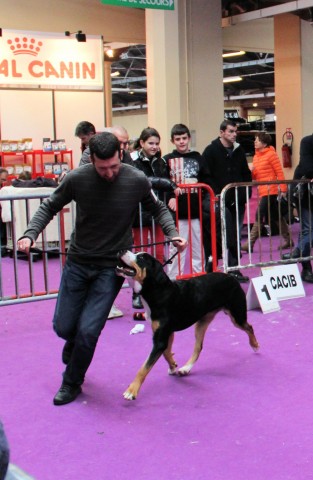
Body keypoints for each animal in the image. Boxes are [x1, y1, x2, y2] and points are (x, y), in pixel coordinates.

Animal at [116, 251, 258, 402]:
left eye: (141, 258)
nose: (120, 251)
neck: (158, 292)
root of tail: (229, 276)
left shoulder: (161, 338)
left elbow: (144, 367)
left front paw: (132, 390)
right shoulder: (166, 333)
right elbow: (166, 352)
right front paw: (173, 365)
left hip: (236, 315)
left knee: (249, 327)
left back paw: (255, 345)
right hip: (202, 322)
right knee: (198, 347)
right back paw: (186, 368)